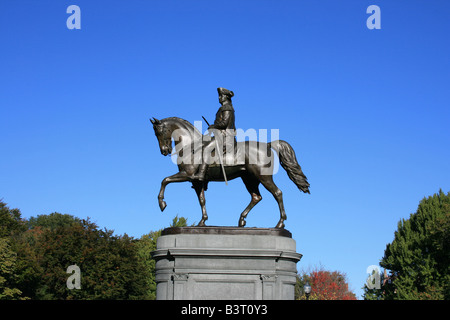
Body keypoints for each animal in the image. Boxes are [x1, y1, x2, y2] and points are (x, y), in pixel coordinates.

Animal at [150, 116, 310, 229]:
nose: (164, 151)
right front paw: (202, 221)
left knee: (277, 193)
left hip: (263, 177)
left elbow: (164, 180)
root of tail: (268, 145)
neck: (191, 146)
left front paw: (162, 204)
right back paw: (242, 220)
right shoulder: (196, 181)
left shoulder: (187, 175)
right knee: (256, 197)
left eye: (159, 132)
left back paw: (280, 224)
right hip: (249, 179)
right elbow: (202, 200)